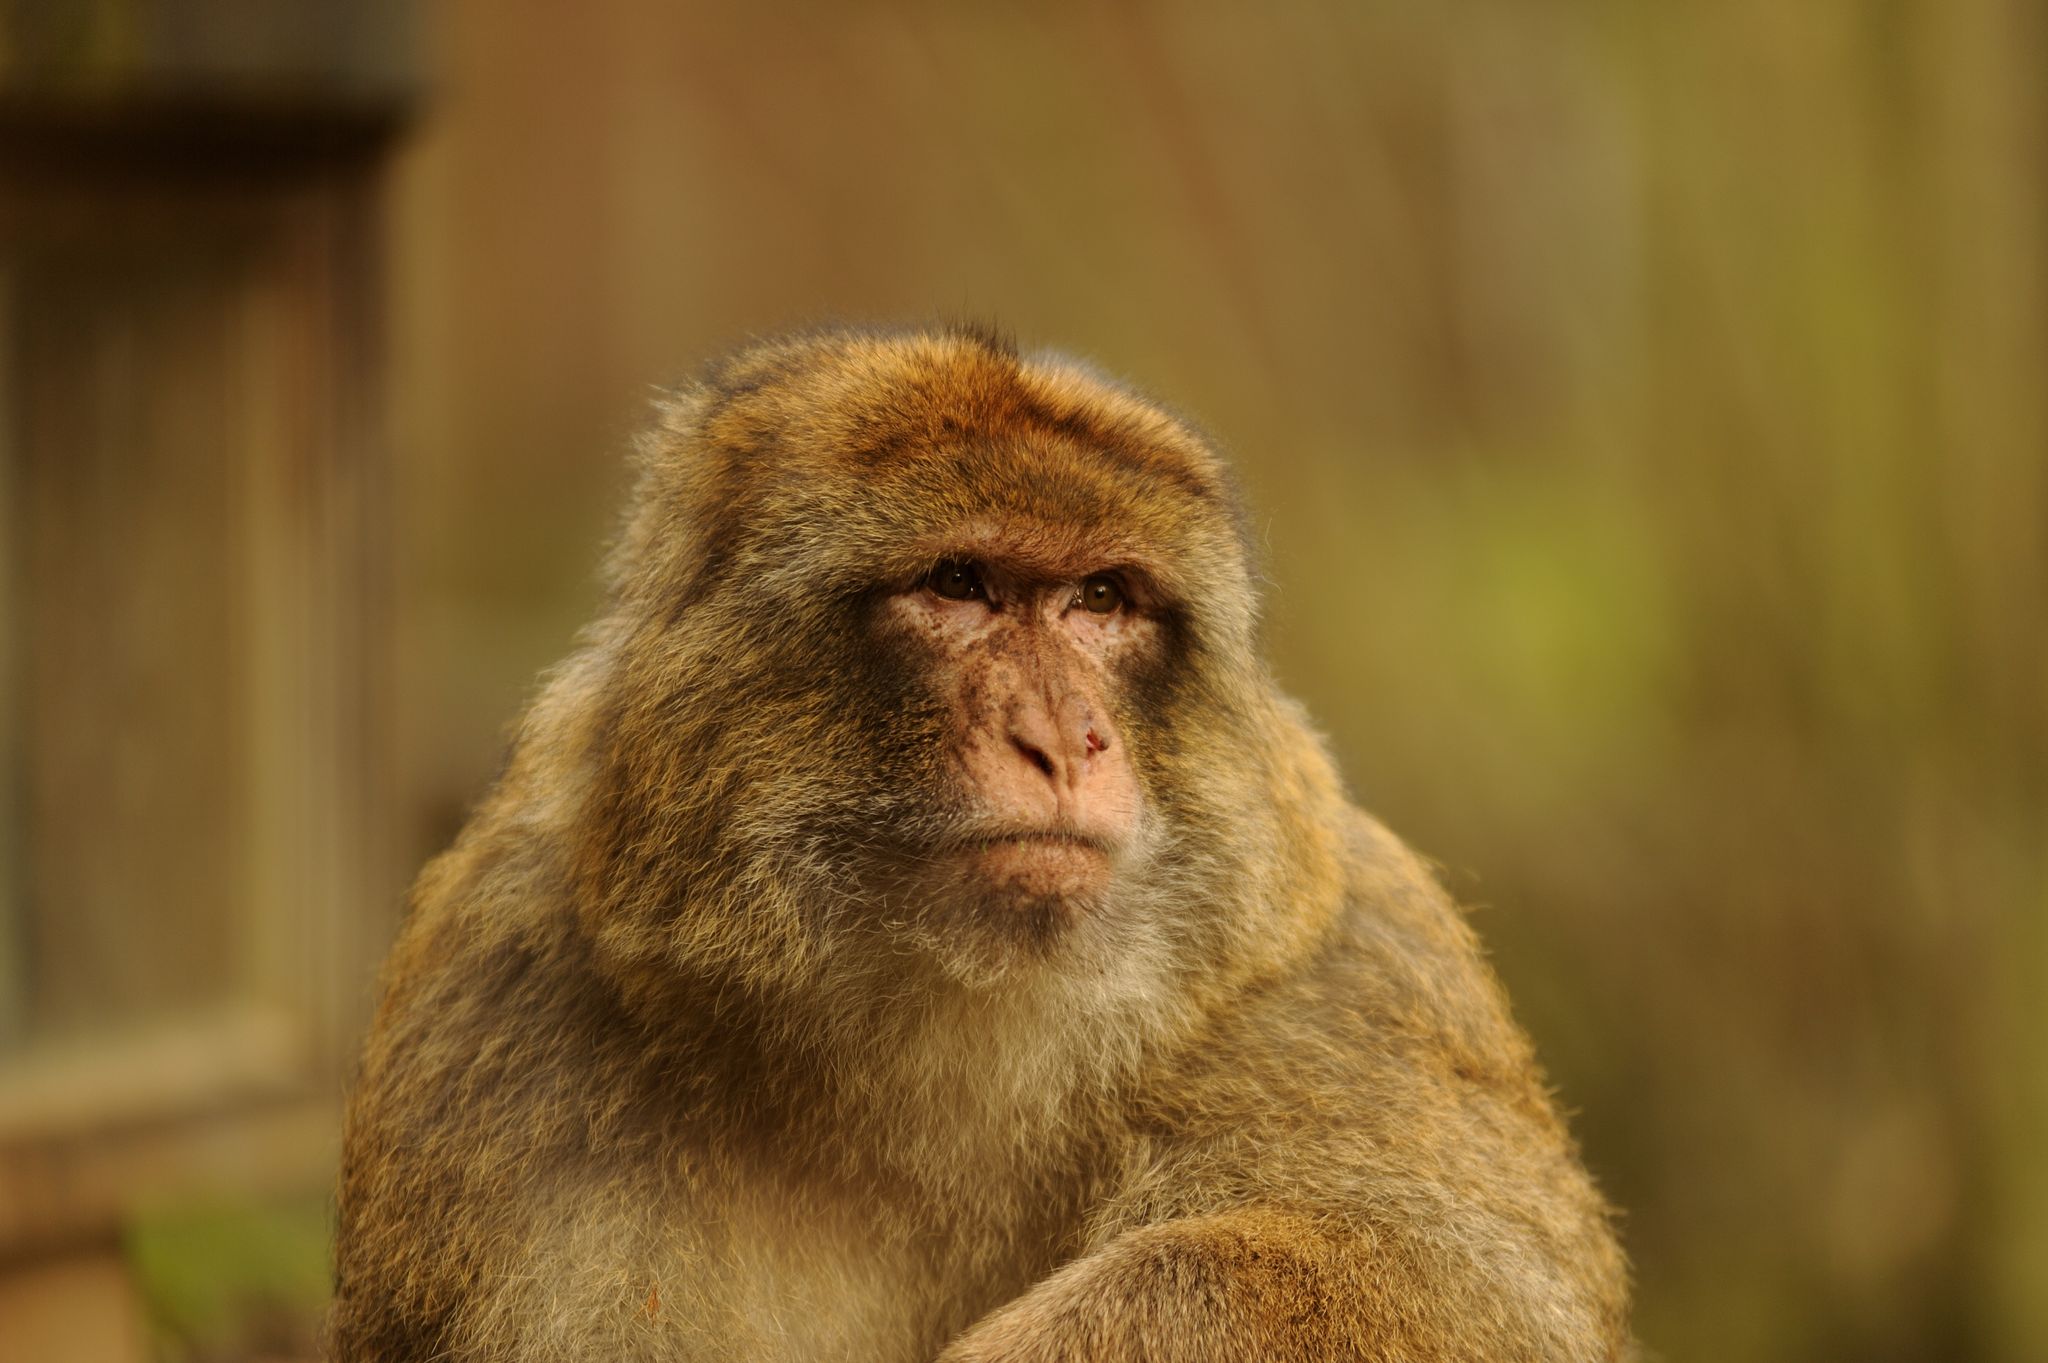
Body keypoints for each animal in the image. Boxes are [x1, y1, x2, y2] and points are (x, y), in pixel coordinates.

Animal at [329, 325, 1631, 1362]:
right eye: (958, 583)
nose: (1063, 738)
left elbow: (1463, 1281)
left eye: (1101, 599)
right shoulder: (503, 1004)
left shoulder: (1338, 966)